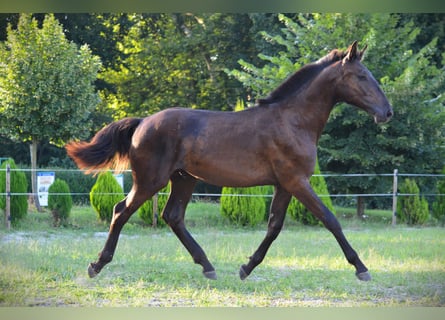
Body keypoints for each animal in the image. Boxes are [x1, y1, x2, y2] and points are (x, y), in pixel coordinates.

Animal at [66, 40, 392, 282]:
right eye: (362, 76)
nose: (387, 112)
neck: (292, 120)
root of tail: (143, 122)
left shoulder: (285, 184)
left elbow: (274, 226)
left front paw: (246, 268)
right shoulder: (297, 181)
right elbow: (330, 220)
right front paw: (361, 268)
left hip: (183, 179)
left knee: (173, 216)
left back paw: (208, 266)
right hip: (150, 180)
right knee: (121, 211)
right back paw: (96, 265)